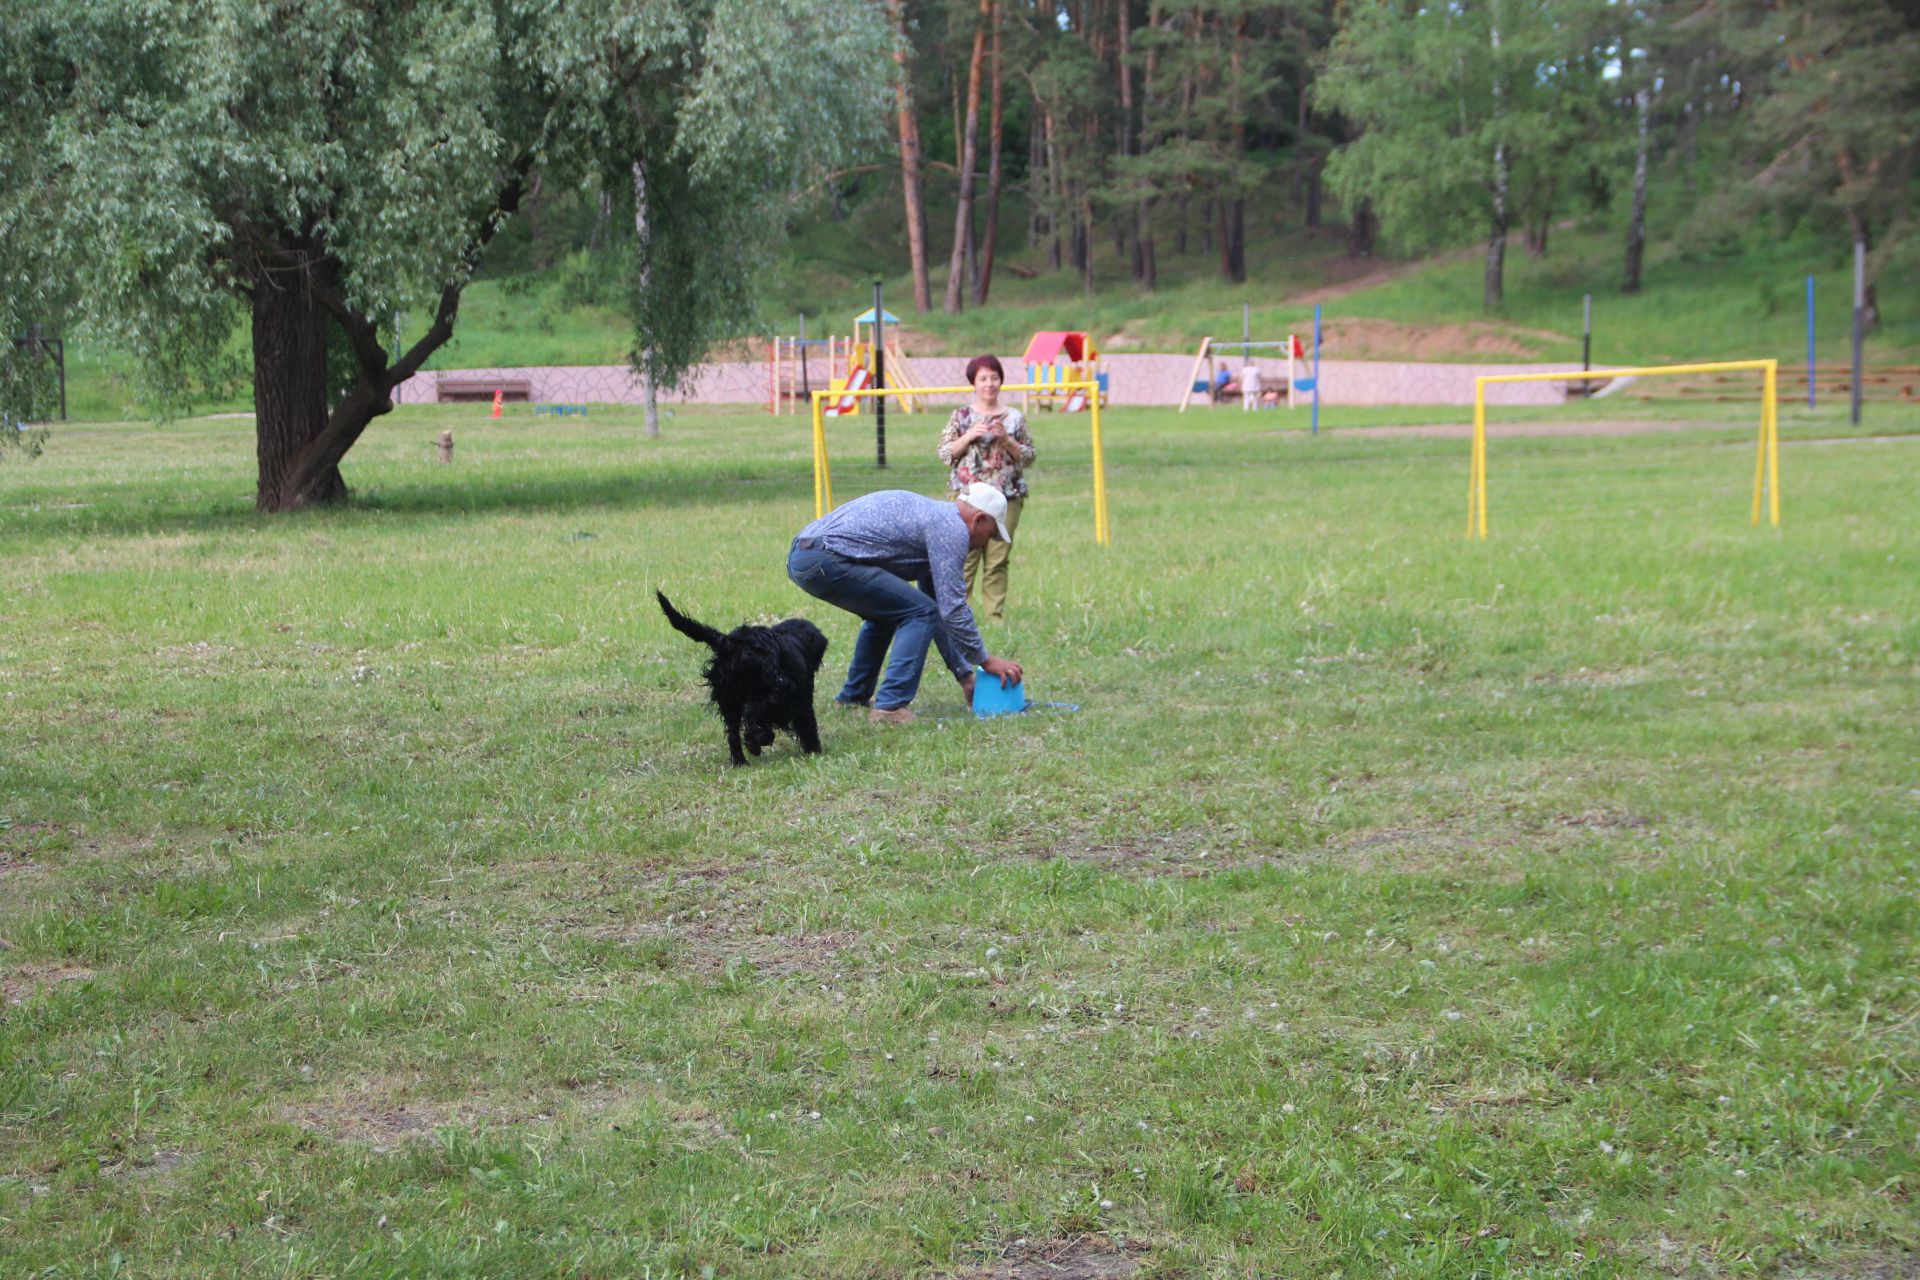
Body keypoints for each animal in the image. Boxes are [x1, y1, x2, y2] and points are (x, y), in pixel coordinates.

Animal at [656, 594, 829, 767]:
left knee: (733, 734)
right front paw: (814, 750)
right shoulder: (801, 700)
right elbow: (808, 725)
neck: (793, 637)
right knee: (750, 713)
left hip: (728, 701)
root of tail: (730, 644)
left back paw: (741, 760)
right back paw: (755, 744)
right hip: (772, 692)